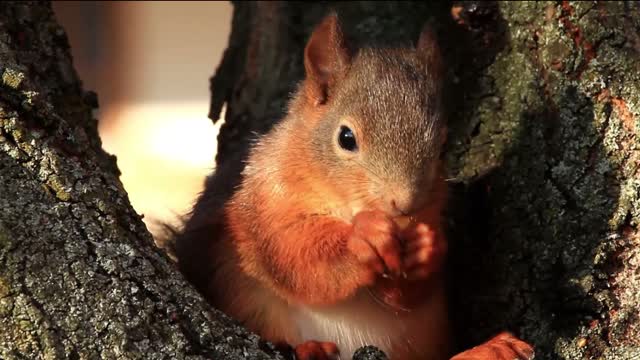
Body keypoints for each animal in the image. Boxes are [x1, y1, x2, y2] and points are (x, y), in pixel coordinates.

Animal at [172, 12, 532, 360]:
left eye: (444, 146)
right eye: (346, 138)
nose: (405, 204)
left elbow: (409, 296)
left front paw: (426, 247)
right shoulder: (262, 202)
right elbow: (292, 252)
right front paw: (363, 238)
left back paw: (488, 350)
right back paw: (311, 350)